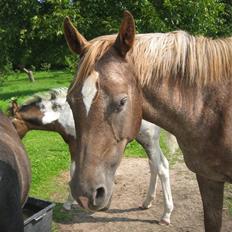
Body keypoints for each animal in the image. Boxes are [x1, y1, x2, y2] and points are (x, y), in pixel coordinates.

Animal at [8, 88, 177, 222]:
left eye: (11, 123)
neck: (64, 114)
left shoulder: (75, 143)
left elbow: (73, 170)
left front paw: (69, 203)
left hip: (148, 139)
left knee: (162, 167)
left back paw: (166, 215)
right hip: (146, 140)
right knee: (155, 165)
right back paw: (147, 203)